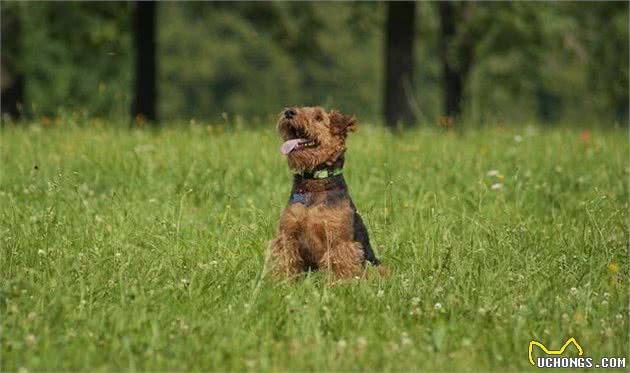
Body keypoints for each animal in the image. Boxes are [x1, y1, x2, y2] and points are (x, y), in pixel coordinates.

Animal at [268, 105, 382, 280]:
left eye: (319, 117)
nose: (289, 112)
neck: (315, 182)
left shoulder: (338, 242)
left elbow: (339, 266)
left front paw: (339, 284)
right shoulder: (287, 236)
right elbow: (286, 262)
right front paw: (280, 282)